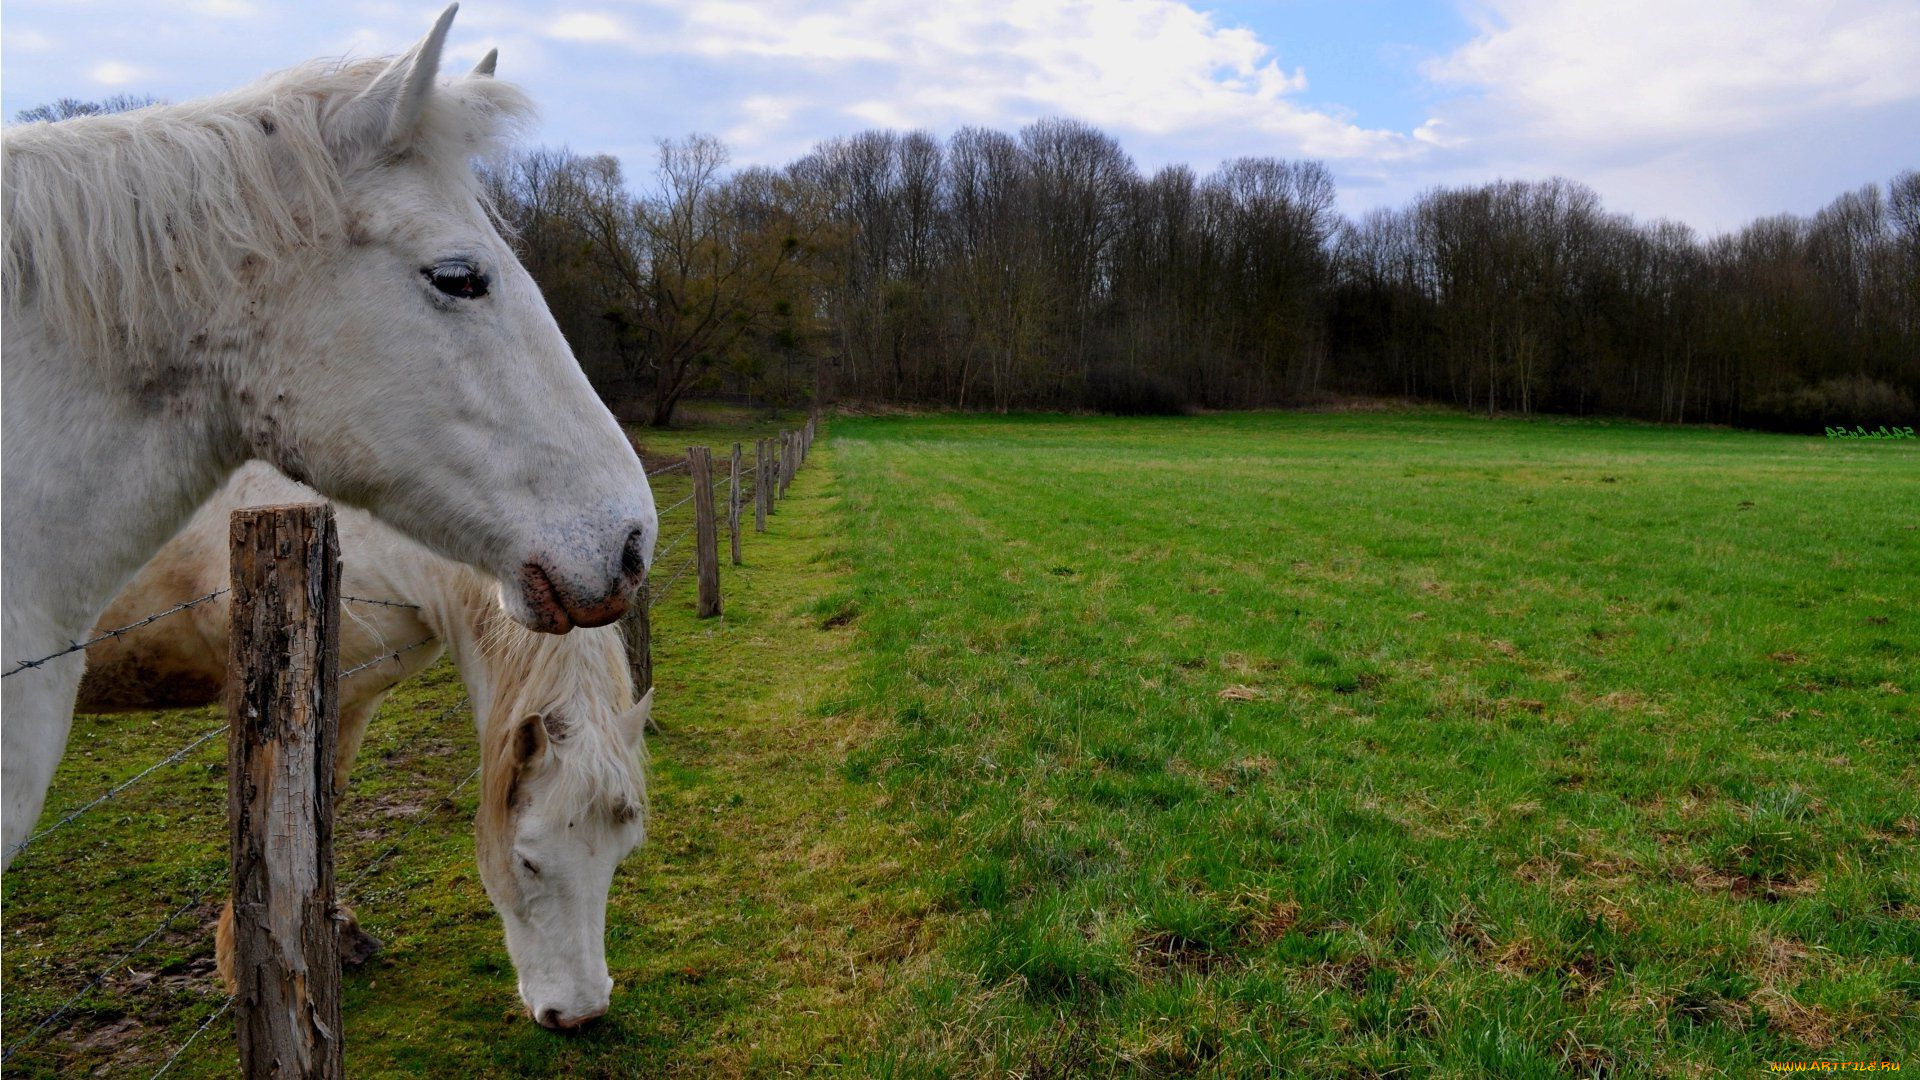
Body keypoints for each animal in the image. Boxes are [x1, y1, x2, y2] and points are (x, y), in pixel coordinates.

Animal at [80, 461, 652, 1022]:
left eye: (622, 854)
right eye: (527, 861)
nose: (580, 1014)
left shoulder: (355, 691)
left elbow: (325, 802)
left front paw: (332, 933)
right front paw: (248, 959)